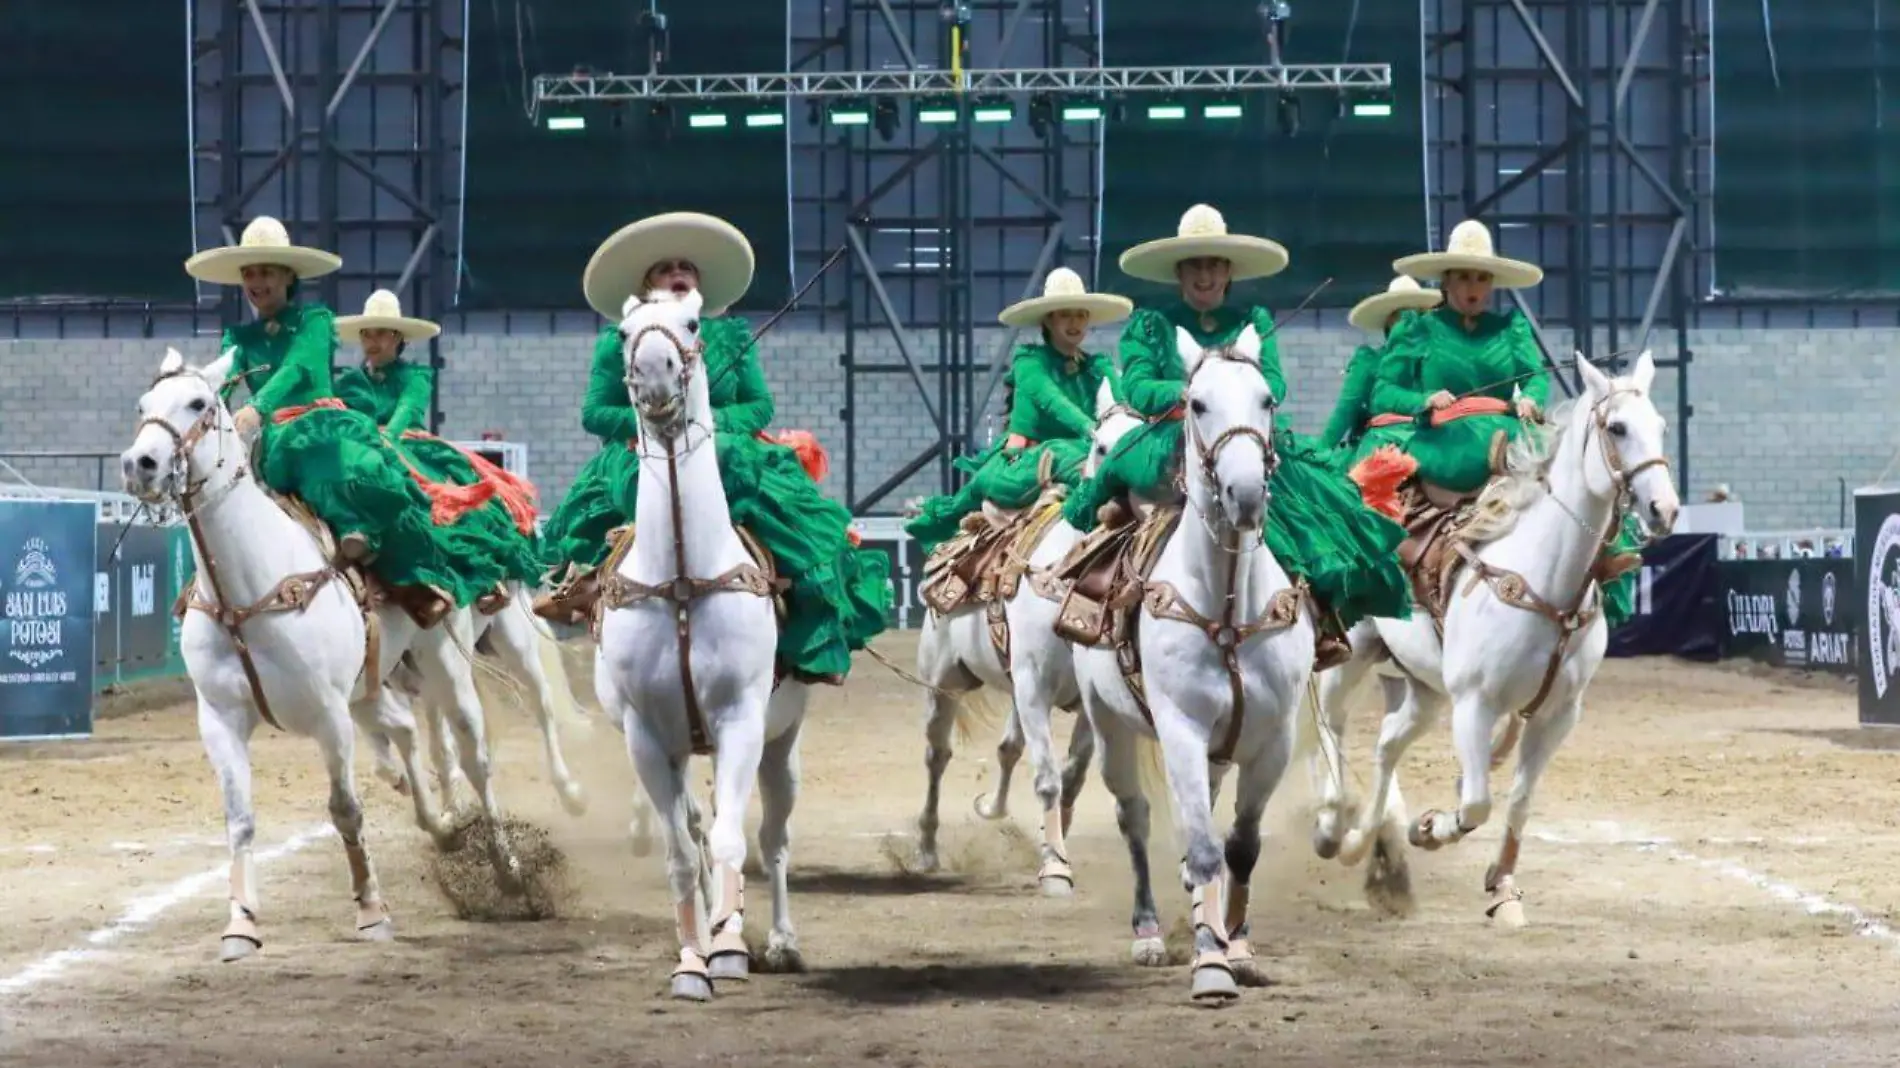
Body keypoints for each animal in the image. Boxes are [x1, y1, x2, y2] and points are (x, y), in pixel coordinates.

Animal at [124, 347, 520, 957]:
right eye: (143, 405)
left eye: (198, 403)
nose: (140, 463)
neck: (244, 597)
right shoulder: (219, 719)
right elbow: (240, 819)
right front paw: (241, 922)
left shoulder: (330, 716)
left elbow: (346, 810)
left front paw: (372, 911)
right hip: (368, 690)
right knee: (406, 730)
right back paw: (445, 829)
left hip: (441, 666)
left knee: (473, 755)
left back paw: (508, 870)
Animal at [596, 288, 813, 995]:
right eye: (624, 333)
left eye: (691, 324)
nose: (654, 373)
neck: (684, 580)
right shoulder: (645, 736)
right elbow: (681, 853)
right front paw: (692, 961)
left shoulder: (741, 720)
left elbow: (730, 841)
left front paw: (730, 949)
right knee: (699, 824)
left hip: (779, 743)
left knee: (770, 836)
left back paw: (777, 940)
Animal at [912, 378, 1132, 885]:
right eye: (1101, 444)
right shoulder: (1033, 688)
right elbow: (1048, 778)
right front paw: (1054, 869)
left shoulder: (1087, 703)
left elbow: (1071, 777)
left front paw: (1056, 848)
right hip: (942, 682)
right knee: (937, 755)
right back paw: (927, 850)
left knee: (1007, 748)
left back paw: (991, 810)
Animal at [1079, 324, 1314, 995]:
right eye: (1198, 404)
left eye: (1266, 400)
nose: (1245, 493)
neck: (1229, 606)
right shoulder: (1181, 728)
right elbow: (1206, 848)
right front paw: (1210, 964)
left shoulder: (1273, 738)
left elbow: (1240, 846)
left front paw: (1238, 946)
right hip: (1107, 727)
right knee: (1136, 819)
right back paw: (1151, 933)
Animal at [1307, 349, 1679, 923]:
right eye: (1616, 427)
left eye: (1660, 426)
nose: (1665, 509)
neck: (1548, 583)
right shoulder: (1474, 704)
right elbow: (1477, 801)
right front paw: (1431, 828)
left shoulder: (1557, 714)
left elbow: (1519, 802)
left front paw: (1501, 885)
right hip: (1351, 655)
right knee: (1334, 724)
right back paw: (1331, 826)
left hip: (1425, 689)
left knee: (1386, 744)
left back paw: (1365, 846)